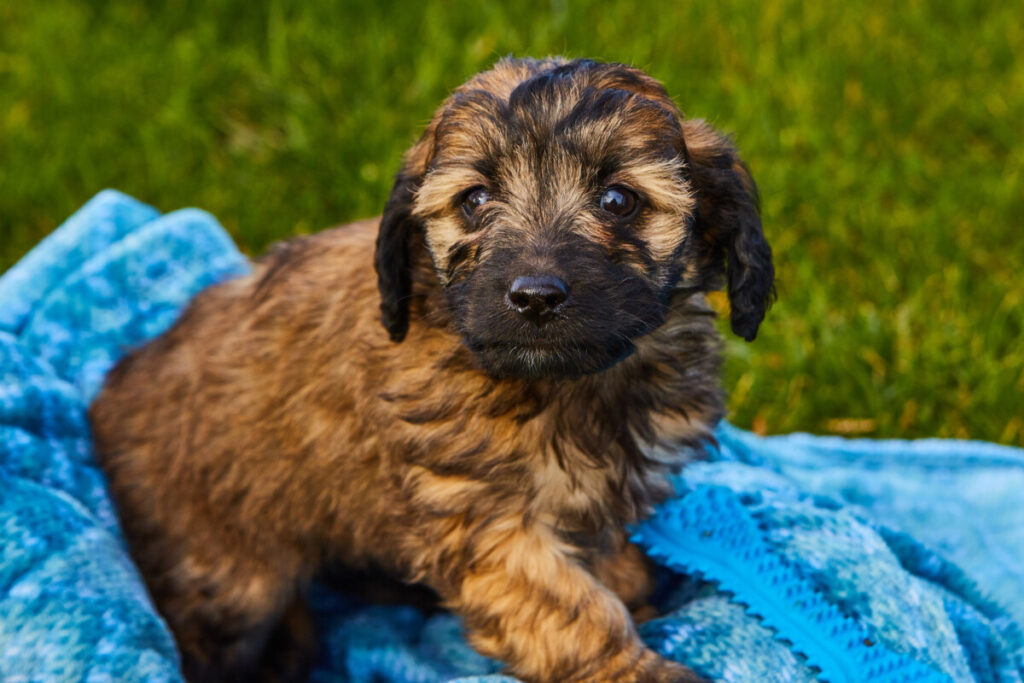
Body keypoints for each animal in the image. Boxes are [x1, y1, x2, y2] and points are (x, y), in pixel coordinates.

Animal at [90, 57, 774, 683]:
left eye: (618, 200)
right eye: (475, 200)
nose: (534, 297)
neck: (569, 385)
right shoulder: (488, 526)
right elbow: (571, 611)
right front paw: (633, 668)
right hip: (228, 573)